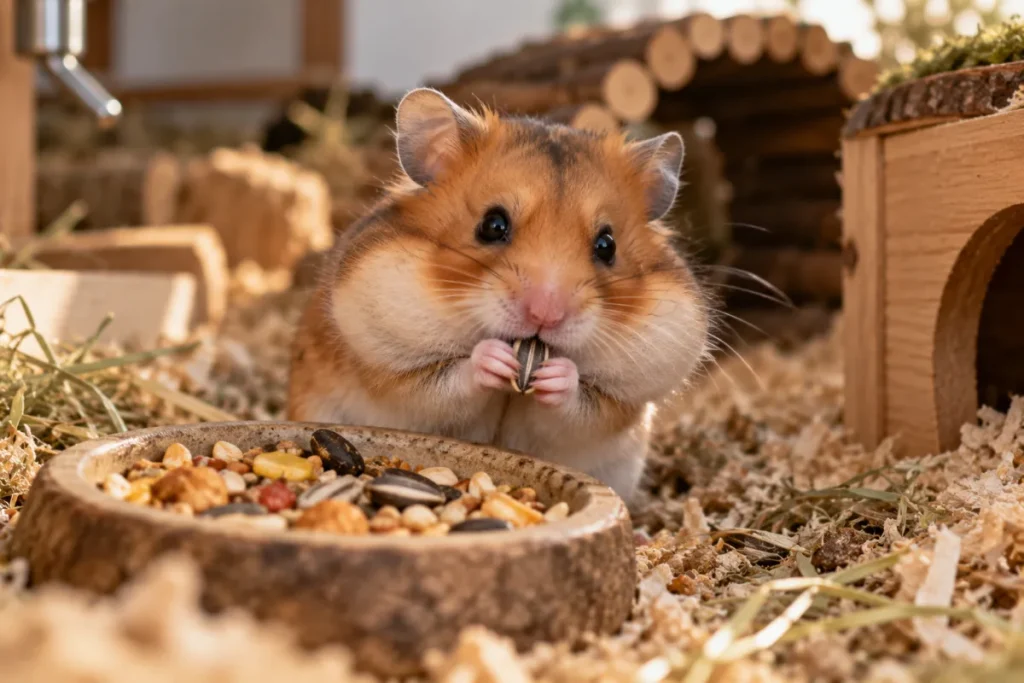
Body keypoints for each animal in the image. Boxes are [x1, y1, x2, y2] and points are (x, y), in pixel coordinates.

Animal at [287, 87, 711, 504]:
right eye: (492, 225)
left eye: (607, 245)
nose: (545, 314)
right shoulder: (396, 373)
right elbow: (452, 378)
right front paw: (496, 358)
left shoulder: (617, 406)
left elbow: (577, 404)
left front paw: (555, 373)